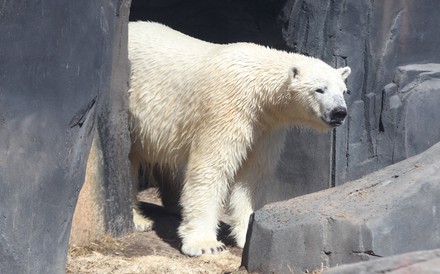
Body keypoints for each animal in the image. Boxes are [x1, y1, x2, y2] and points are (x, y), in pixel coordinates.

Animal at [127, 21, 350, 256]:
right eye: (319, 89)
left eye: (344, 91)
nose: (339, 112)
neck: (258, 89)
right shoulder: (227, 107)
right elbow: (212, 166)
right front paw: (205, 244)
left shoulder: (265, 127)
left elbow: (253, 175)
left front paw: (248, 235)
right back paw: (139, 219)